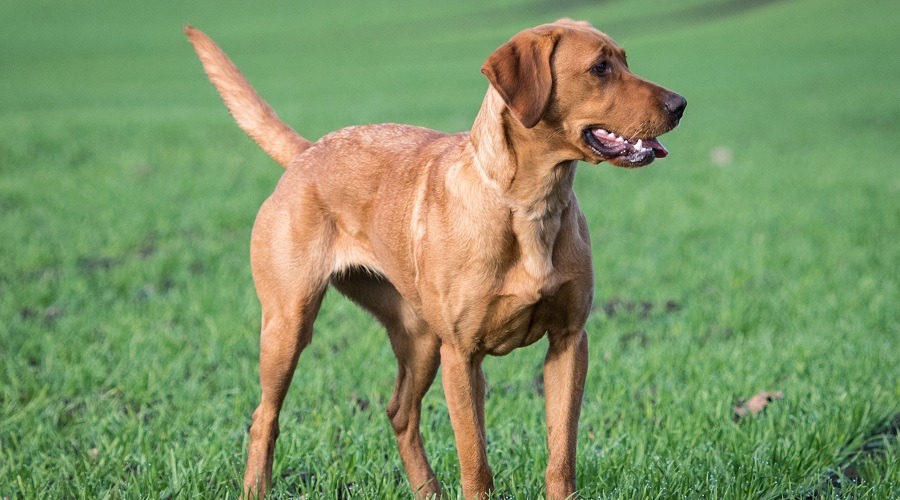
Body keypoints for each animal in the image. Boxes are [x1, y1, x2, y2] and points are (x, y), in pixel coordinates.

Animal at [186, 19, 684, 500]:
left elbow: (561, 457)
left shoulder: (568, 342)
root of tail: (308, 152)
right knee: (264, 416)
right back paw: (256, 488)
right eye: (600, 68)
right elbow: (476, 463)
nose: (680, 103)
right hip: (289, 325)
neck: (531, 204)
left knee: (400, 413)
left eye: (625, 60)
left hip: (418, 335)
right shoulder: (462, 355)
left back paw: (428, 491)